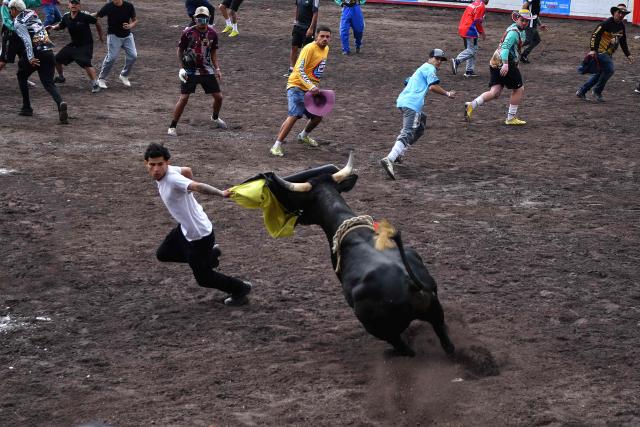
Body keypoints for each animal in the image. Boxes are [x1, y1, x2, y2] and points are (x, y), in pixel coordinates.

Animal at [262, 153, 455, 357]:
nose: (298, 218)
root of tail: (412, 285)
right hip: (436, 315)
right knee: (446, 341)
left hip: (383, 329)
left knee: (404, 348)